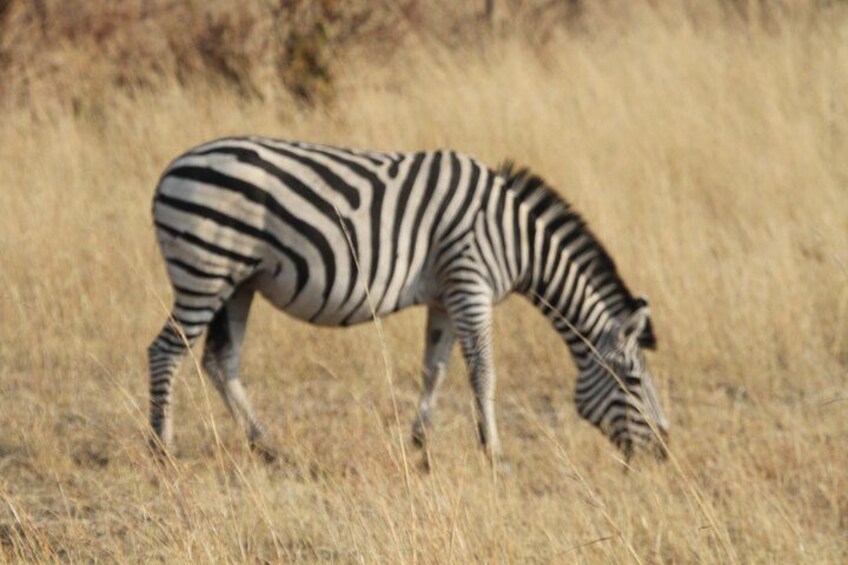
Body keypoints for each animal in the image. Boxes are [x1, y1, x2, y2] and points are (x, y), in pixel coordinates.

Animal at [147, 135, 669, 465]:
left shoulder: (446, 296)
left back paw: (265, 446)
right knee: (166, 351)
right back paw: (162, 450)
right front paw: (495, 455)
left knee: (220, 360)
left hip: (238, 281)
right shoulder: (470, 284)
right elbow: (483, 373)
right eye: (632, 380)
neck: (519, 241)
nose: (665, 451)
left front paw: (421, 444)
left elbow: (434, 368)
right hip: (205, 270)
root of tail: (170, 169)